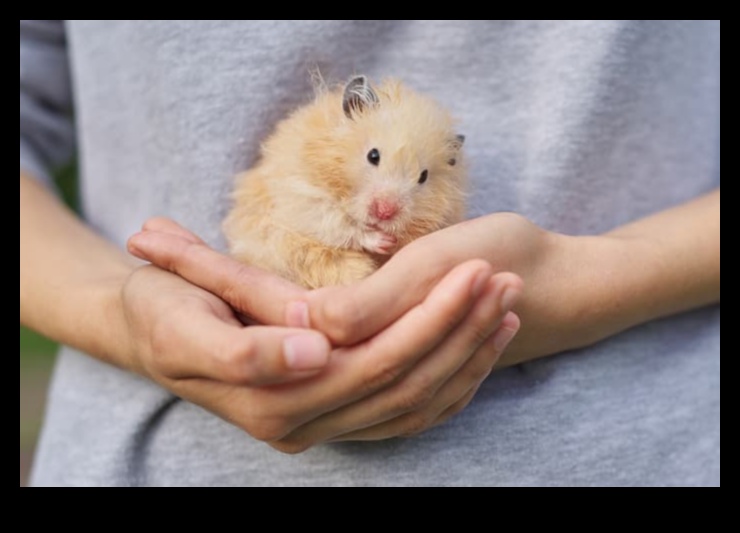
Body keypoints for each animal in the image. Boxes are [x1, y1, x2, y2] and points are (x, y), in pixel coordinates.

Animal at [224, 75, 467, 289]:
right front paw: (381, 240)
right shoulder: (303, 195)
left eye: (423, 176)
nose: (385, 212)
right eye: (373, 155)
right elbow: (339, 225)